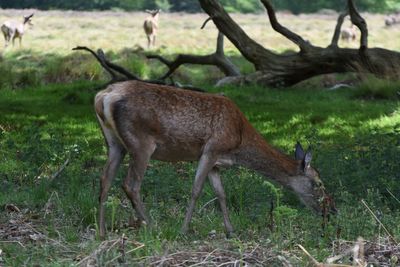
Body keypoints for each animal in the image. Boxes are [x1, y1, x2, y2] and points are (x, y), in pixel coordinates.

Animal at [95, 80, 336, 240]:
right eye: (318, 183)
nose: (332, 211)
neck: (239, 142)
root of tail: (103, 97)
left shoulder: (216, 163)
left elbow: (221, 193)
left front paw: (231, 230)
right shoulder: (211, 149)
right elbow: (196, 190)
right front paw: (183, 230)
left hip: (114, 143)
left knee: (105, 180)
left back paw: (102, 231)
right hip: (141, 142)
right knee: (130, 185)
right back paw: (153, 226)